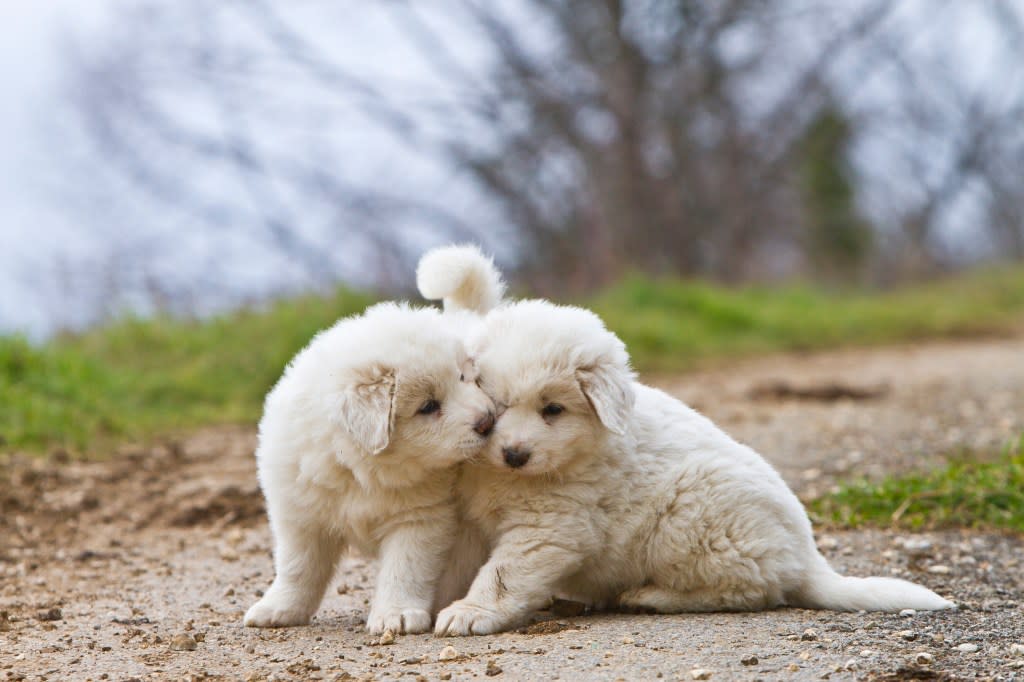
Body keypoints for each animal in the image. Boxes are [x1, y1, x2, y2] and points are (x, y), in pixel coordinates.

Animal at [239, 299, 495, 630]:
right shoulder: (300, 516)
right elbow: (298, 566)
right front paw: (279, 608)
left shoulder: (419, 518)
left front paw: (396, 614)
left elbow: (404, 568)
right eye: (428, 406)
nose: (488, 420)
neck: (361, 470)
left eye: (464, 377)